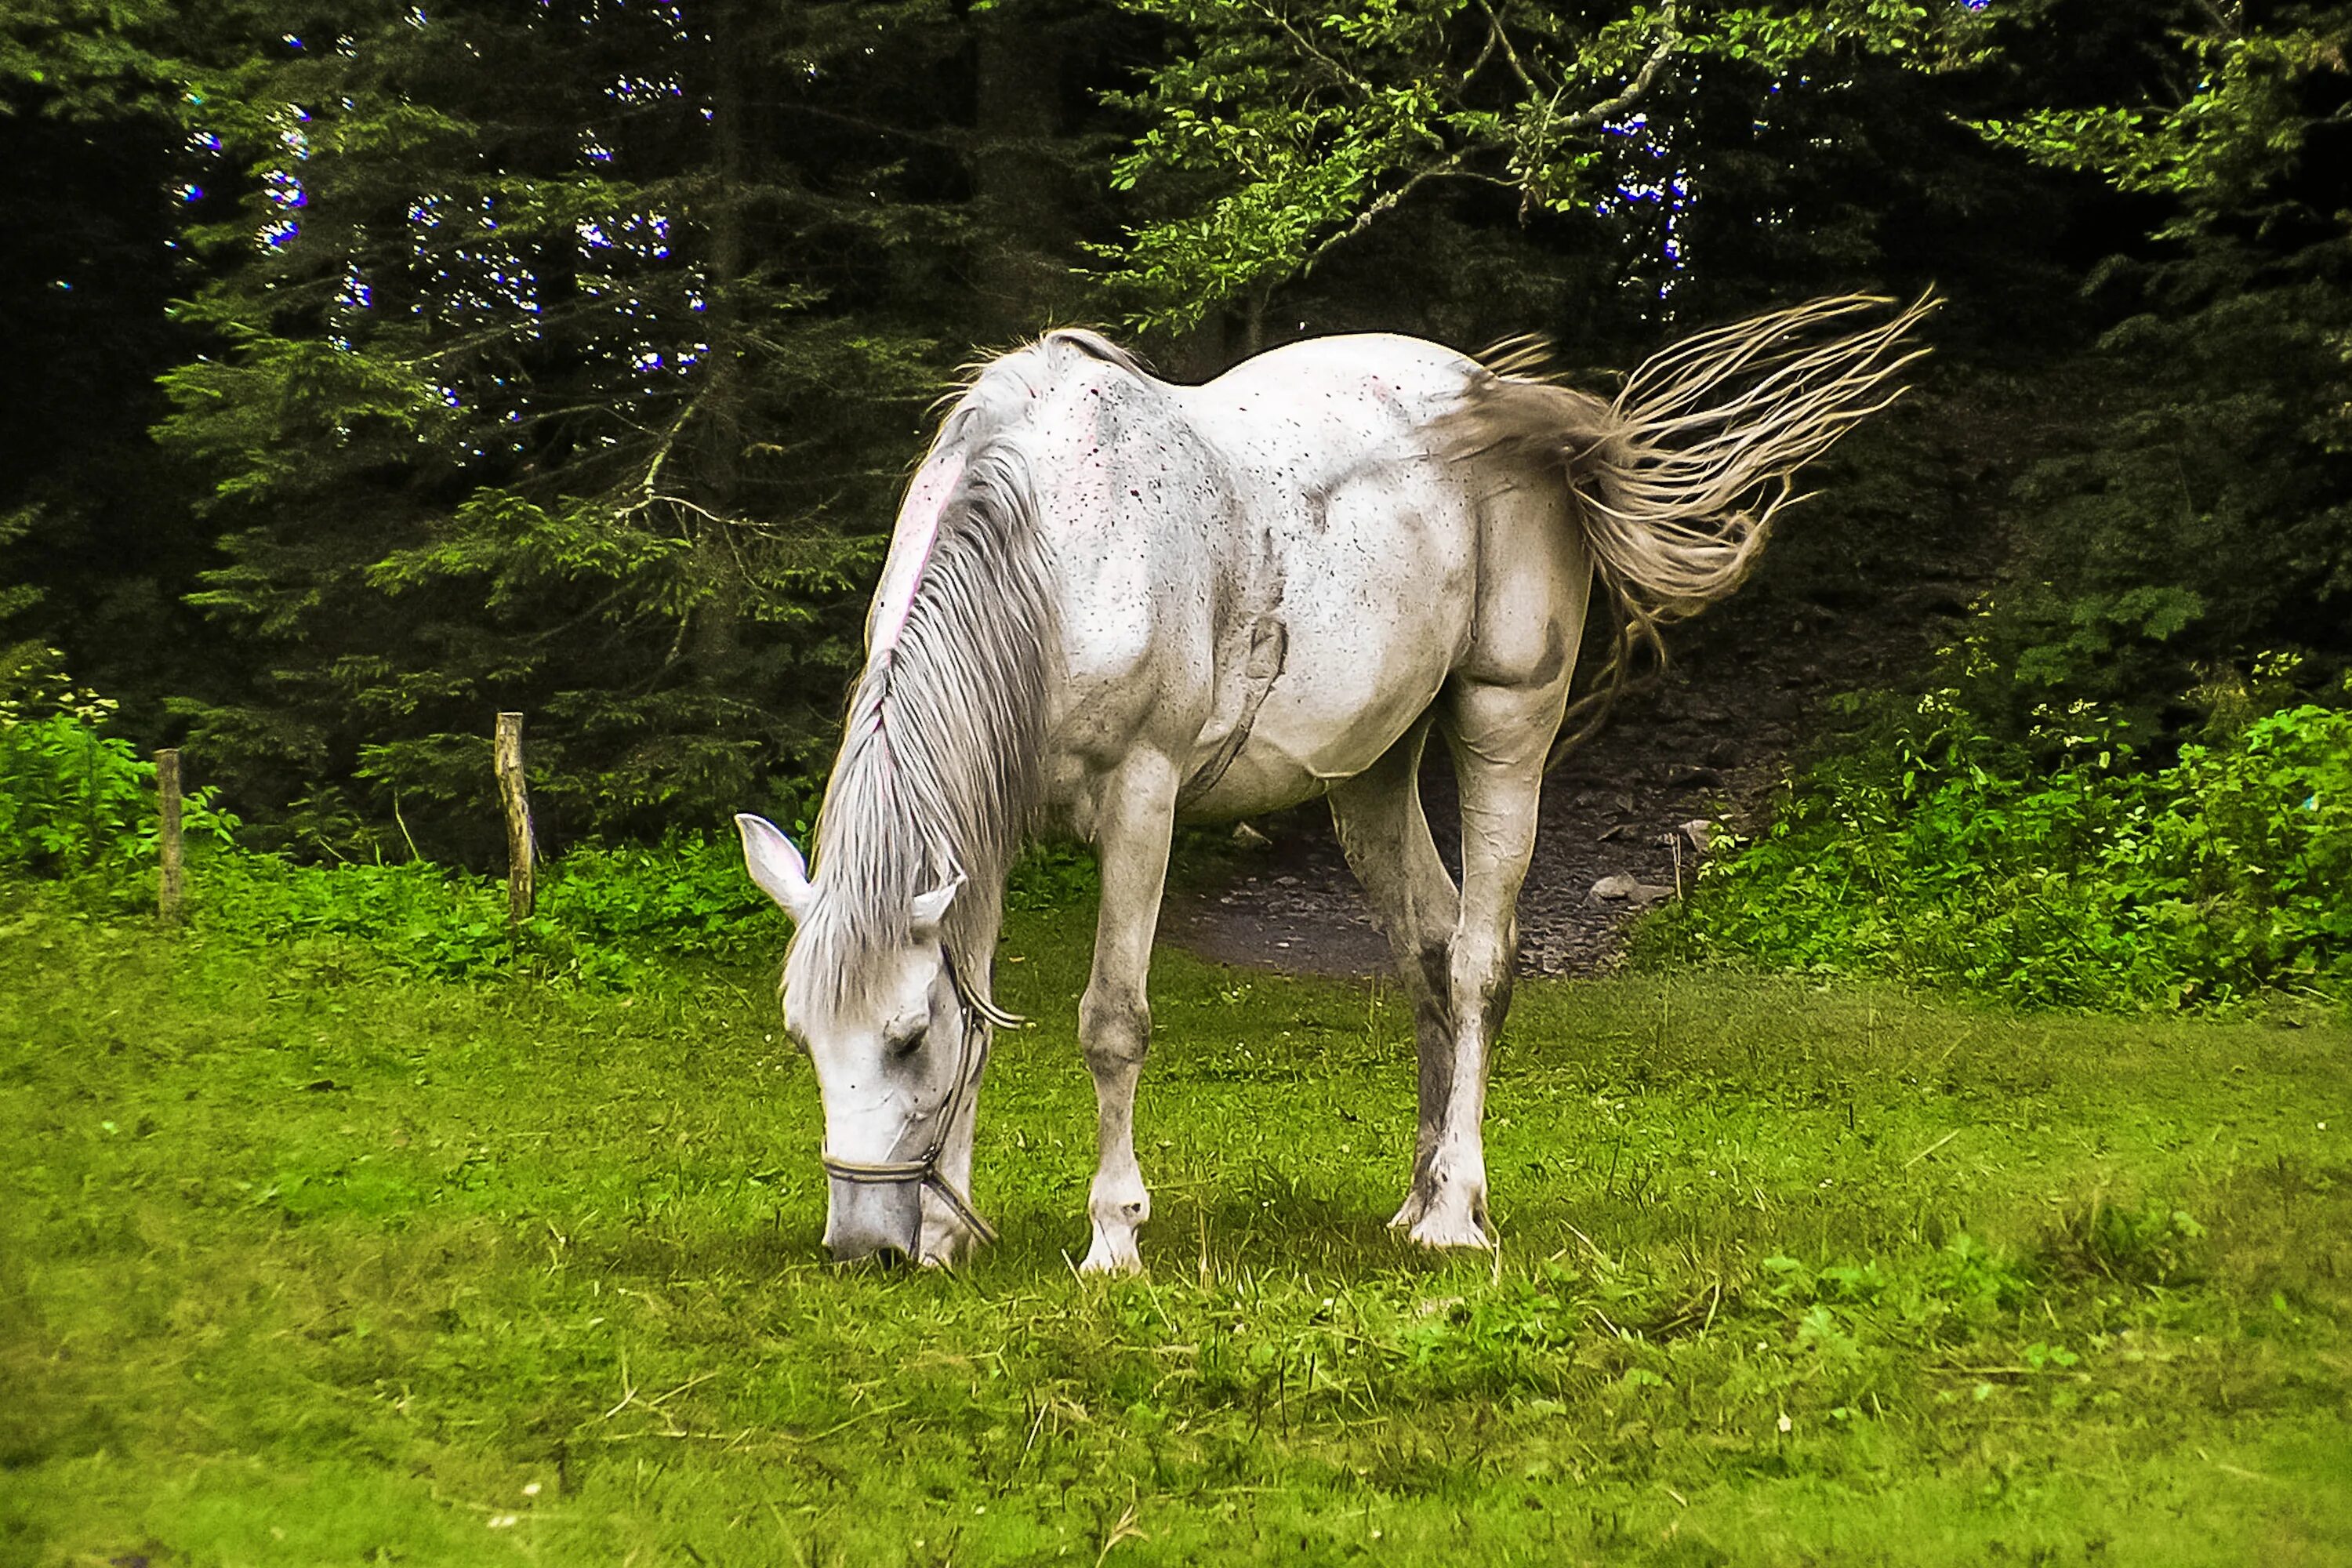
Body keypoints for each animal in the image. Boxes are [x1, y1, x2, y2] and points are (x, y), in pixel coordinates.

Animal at [734, 293, 1929, 1279]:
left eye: (900, 1038)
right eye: (802, 1037)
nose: (864, 1248)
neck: (1056, 543)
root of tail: (1509, 404)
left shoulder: (1142, 801)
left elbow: (1112, 1021)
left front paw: (1113, 1237)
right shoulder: (988, 823)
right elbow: (982, 1016)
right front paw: (949, 1232)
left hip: (1506, 723)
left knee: (1481, 962)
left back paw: (1457, 1216)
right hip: (1373, 772)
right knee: (1430, 953)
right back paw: (1420, 1200)